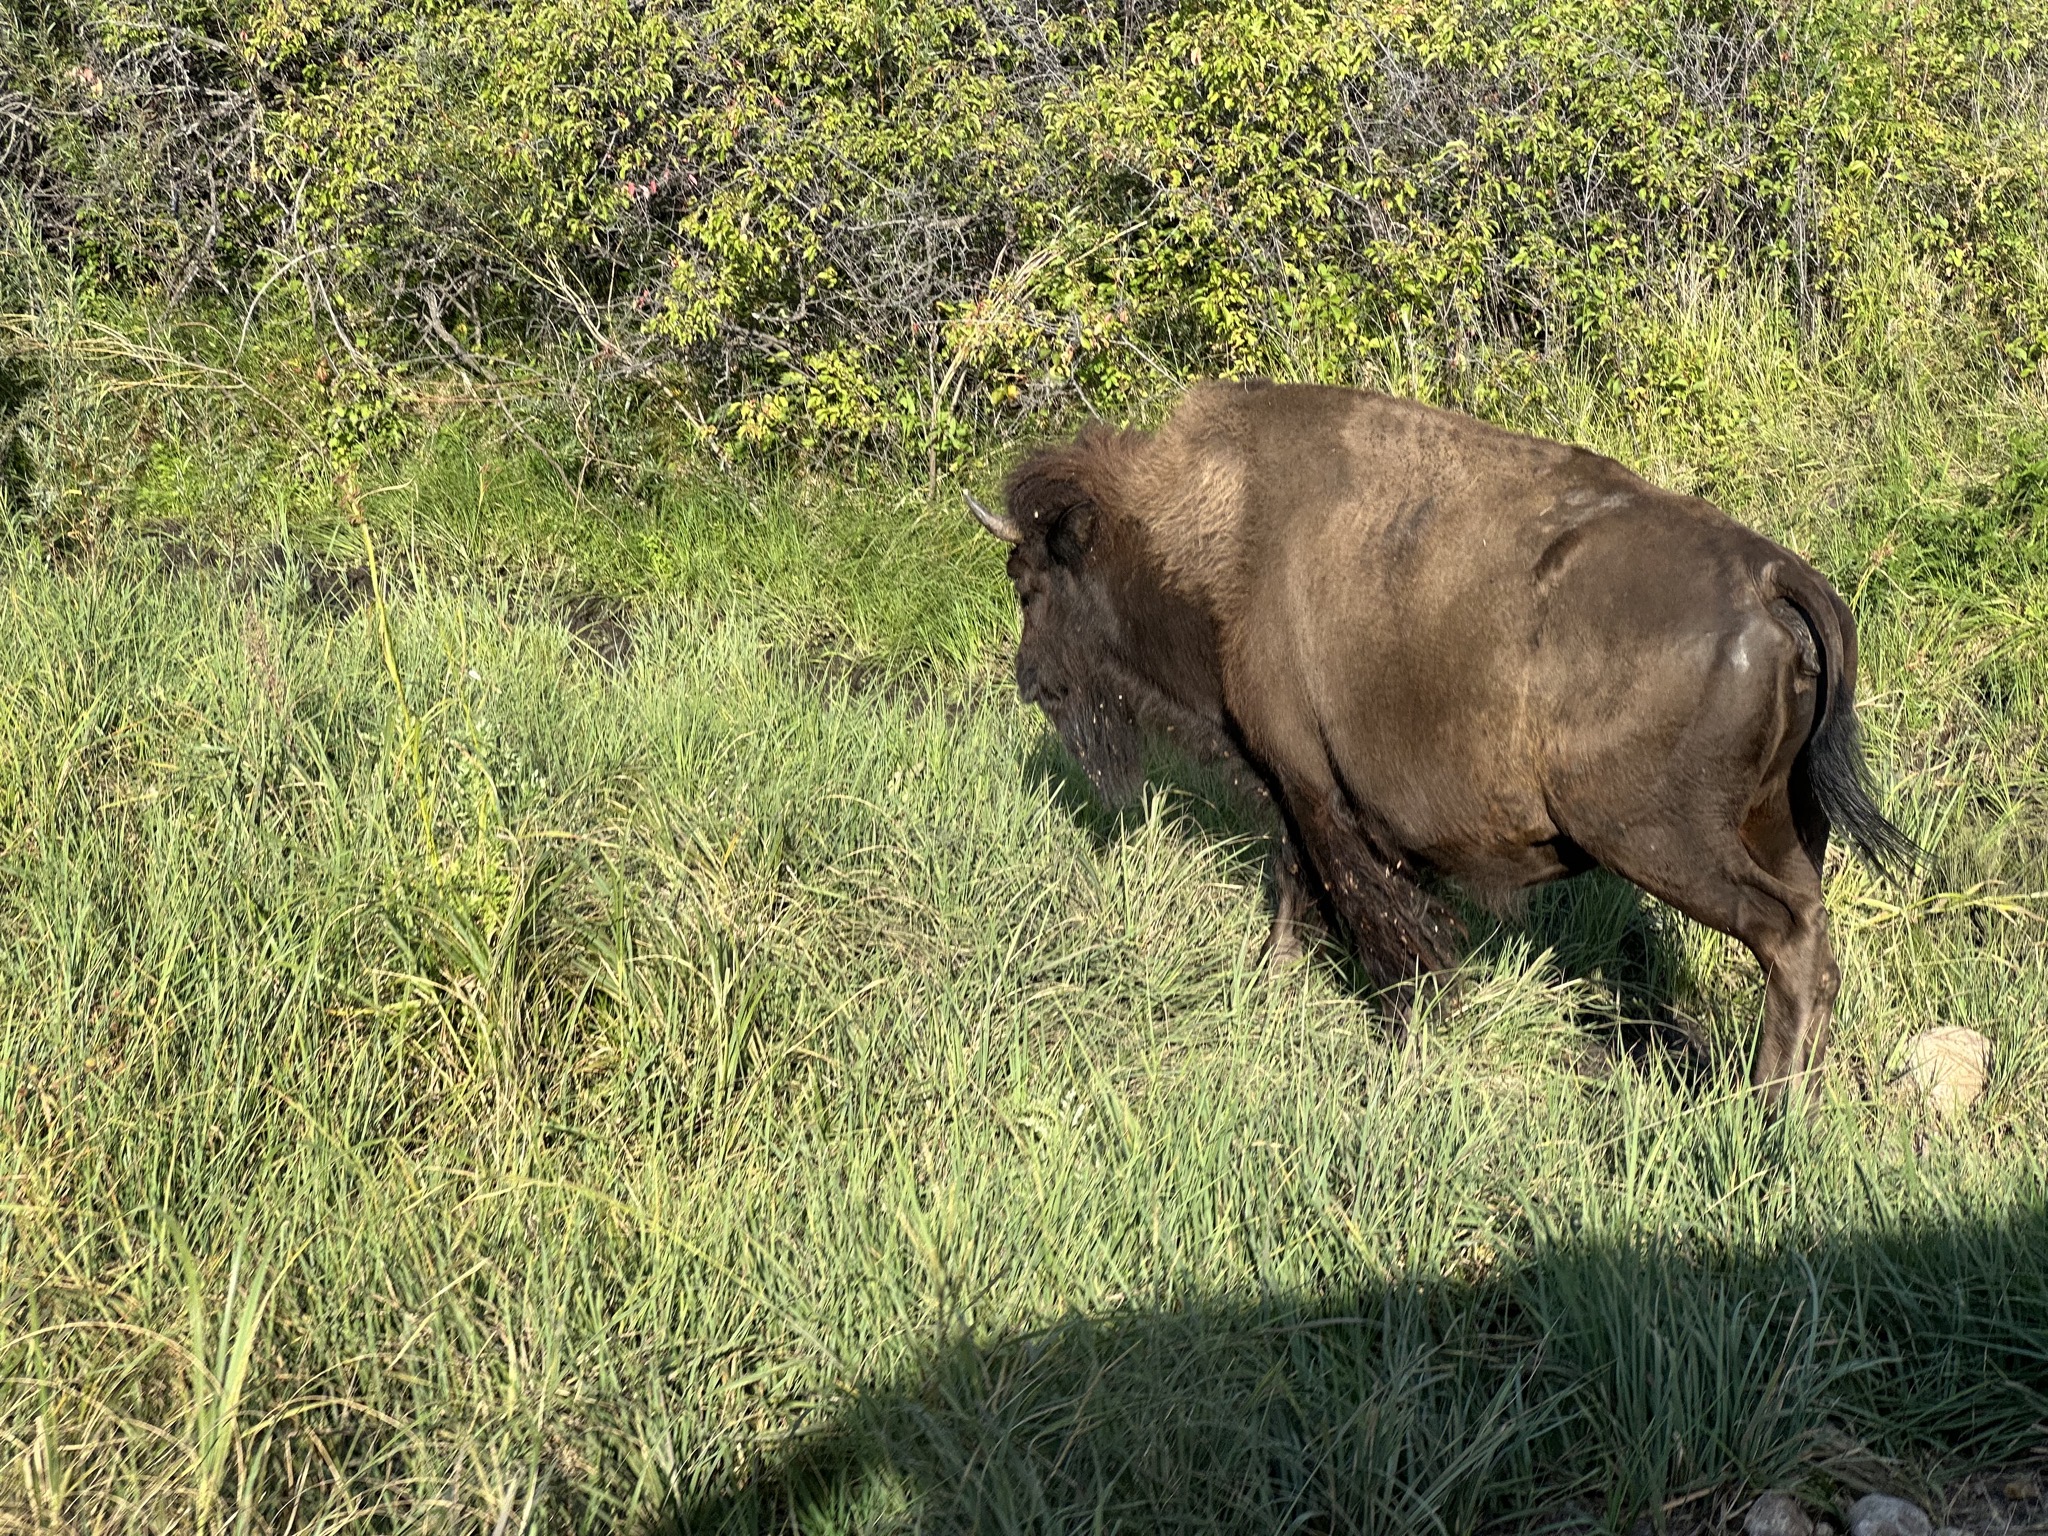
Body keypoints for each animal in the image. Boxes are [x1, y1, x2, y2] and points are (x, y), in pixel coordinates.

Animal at [969, 381, 1919, 1105]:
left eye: (1029, 583)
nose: (1030, 679)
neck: (1216, 536)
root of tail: (1768, 578)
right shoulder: (1305, 797)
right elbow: (1301, 887)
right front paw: (1278, 986)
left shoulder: (1312, 790)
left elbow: (1366, 914)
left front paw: (1403, 1028)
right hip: (1782, 828)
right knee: (1813, 945)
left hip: (1661, 839)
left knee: (1788, 938)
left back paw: (1767, 1110)